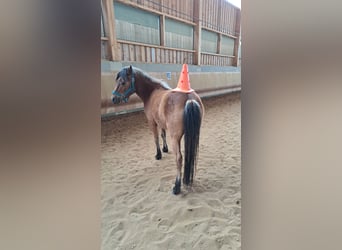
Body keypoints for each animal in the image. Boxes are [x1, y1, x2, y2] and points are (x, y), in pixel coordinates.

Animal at [112, 65, 203, 194]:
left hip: (175, 138)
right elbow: (162, 134)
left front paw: (158, 154)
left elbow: (155, 138)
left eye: (123, 82)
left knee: (179, 158)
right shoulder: (160, 122)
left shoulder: (152, 122)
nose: (113, 99)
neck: (151, 92)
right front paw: (165, 149)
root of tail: (189, 99)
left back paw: (177, 186)